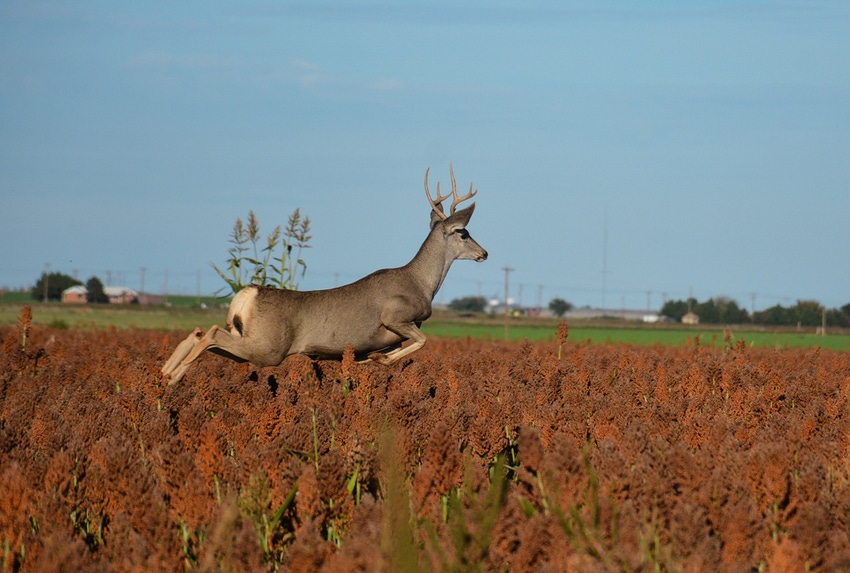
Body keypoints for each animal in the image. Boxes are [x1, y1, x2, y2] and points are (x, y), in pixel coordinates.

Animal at [161, 161, 486, 384]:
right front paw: (379, 359)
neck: (422, 283)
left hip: (249, 340)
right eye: (464, 232)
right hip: (268, 348)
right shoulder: (395, 316)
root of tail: (248, 294)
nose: (484, 253)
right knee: (210, 333)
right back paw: (174, 376)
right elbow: (421, 341)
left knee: (201, 330)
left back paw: (165, 372)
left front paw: (368, 361)